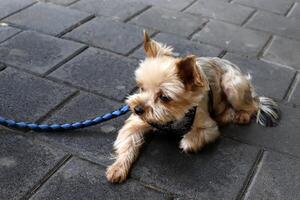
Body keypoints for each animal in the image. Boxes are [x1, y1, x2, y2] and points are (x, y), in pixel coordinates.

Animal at [105, 30, 278, 183]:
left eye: (164, 97)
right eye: (141, 88)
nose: (137, 109)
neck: (171, 118)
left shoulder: (208, 127)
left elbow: (191, 139)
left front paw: (187, 141)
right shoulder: (136, 123)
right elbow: (127, 142)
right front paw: (118, 168)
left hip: (232, 84)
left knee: (253, 105)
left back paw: (242, 115)